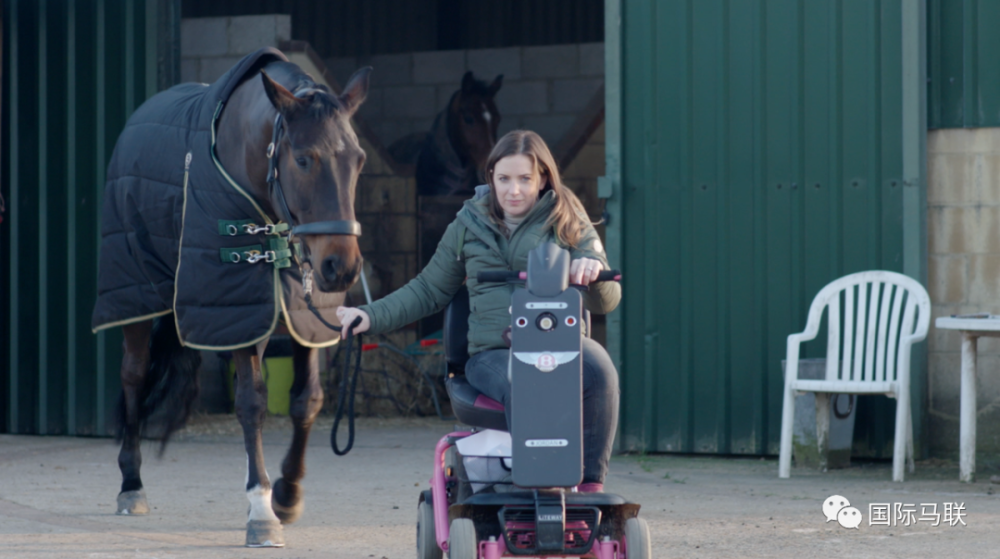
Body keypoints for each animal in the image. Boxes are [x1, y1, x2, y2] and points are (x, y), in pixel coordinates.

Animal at [93, 50, 368, 548]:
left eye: (358, 160)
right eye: (304, 159)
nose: (342, 267)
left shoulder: (297, 312)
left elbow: (307, 400)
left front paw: (287, 493)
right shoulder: (238, 312)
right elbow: (251, 403)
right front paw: (261, 510)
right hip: (136, 294)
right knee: (134, 375)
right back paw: (131, 484)